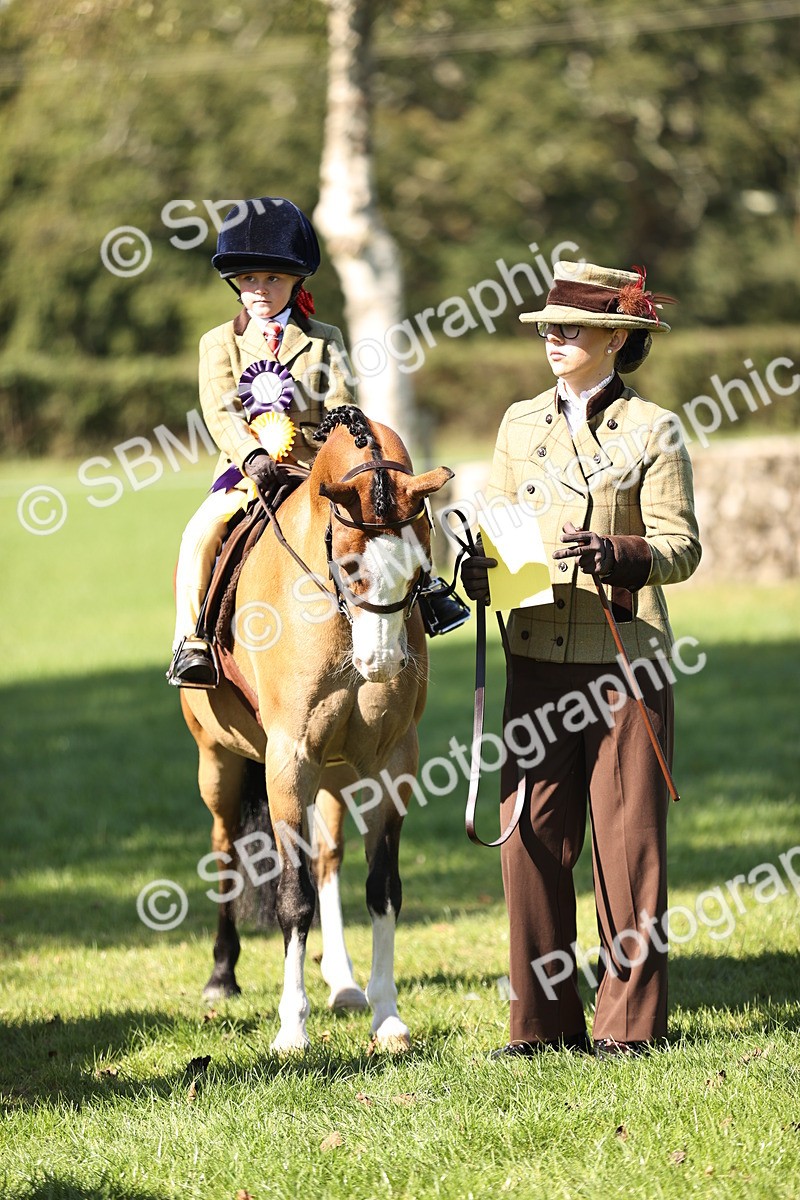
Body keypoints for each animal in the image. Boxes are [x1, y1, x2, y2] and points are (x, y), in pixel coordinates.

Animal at [180, 406, 453, 1052]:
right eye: (350, 569)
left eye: (419, 570)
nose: (381, 664)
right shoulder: (288, 760)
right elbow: (292, 897)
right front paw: (291, 1030)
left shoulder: (391, 764)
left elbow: (382, 889)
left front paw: (387, 1016)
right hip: (220, 766)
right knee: (225, 849)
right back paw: (222, 976)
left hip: (334, 774)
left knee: (327, 858)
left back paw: (344, 982)